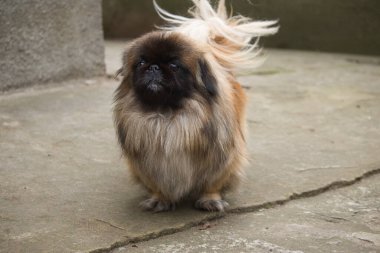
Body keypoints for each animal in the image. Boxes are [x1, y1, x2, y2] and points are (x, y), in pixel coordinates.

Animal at [112, 0, 276, 211]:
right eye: (141, 63)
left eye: (174, 65)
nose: (154, 67)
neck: (166, 115)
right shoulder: (147, 165)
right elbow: (156, 183)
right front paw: (159, 198)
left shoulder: (221, 159)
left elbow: (212, 182)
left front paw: (210, 199)